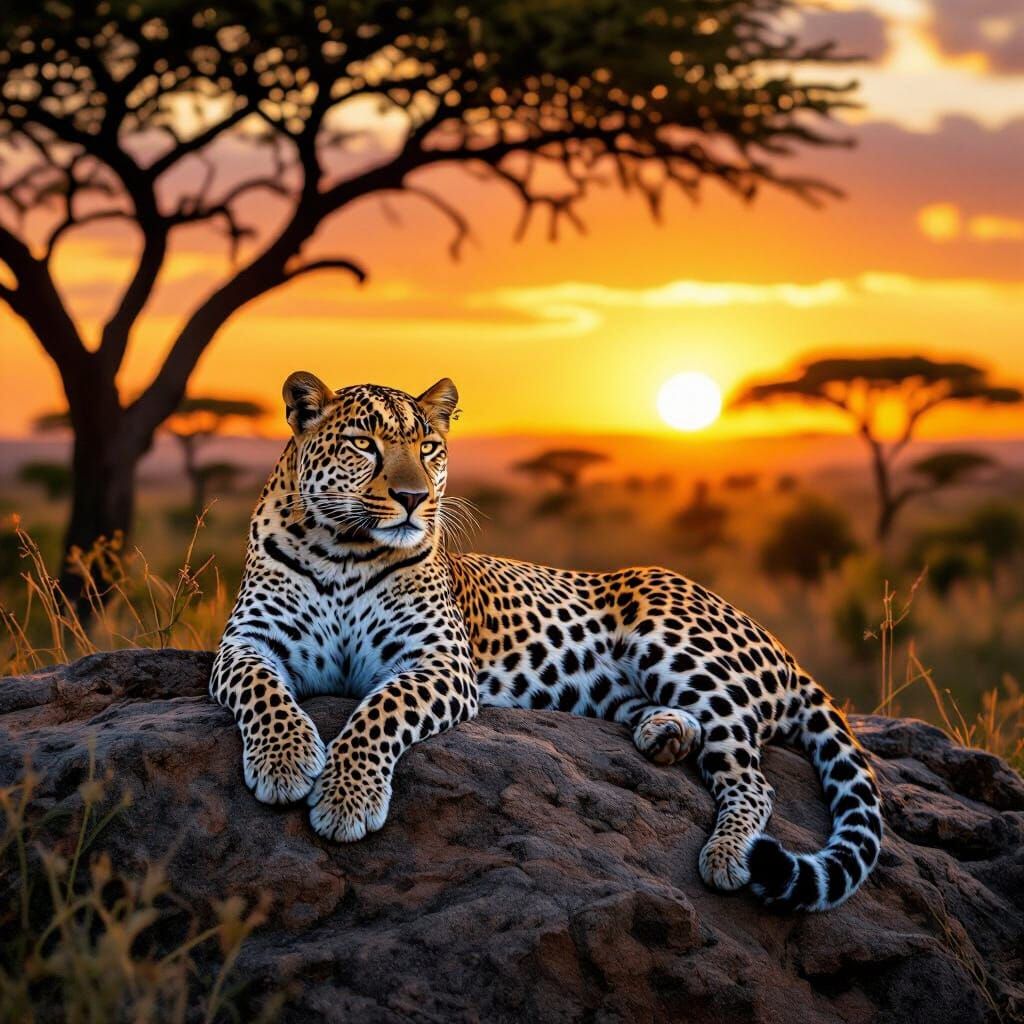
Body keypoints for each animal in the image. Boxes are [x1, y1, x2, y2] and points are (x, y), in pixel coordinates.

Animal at [210, 371, 883, 912]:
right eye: (362, 444)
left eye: (428, 448)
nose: (413, 498)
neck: (344, 550)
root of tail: (781, 646)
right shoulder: (247, 642)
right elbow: (263, 690)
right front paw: (285, 761)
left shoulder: (438, 660)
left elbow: (380, 711)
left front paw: (346, 799)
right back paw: (665, 735)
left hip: (677, 641)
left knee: (753, 778)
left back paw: (725, 856)